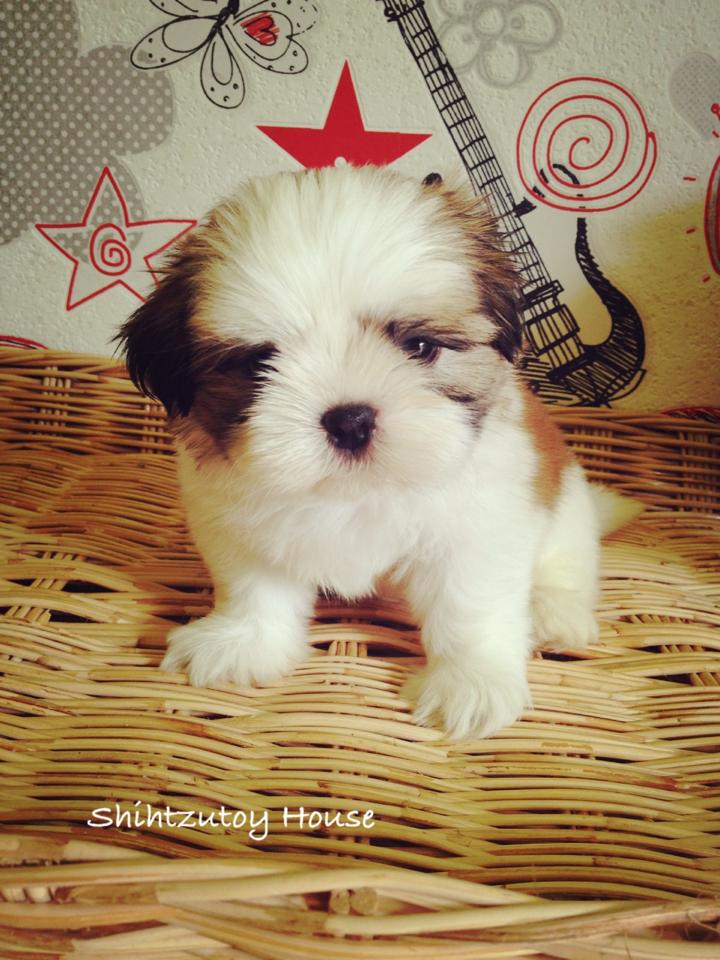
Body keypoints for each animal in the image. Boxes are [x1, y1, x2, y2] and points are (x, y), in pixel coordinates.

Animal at [118, 165, 639, 740]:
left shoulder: (480, 528)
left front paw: (471, 680)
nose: (350, 419)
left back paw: (552, 611)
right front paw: (242, 641)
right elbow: (254, 587)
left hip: (565, 507)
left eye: (419, 347)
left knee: (567, 563)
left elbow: (471, 604)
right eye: (259, 364)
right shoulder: (236, 525)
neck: (355, 493)